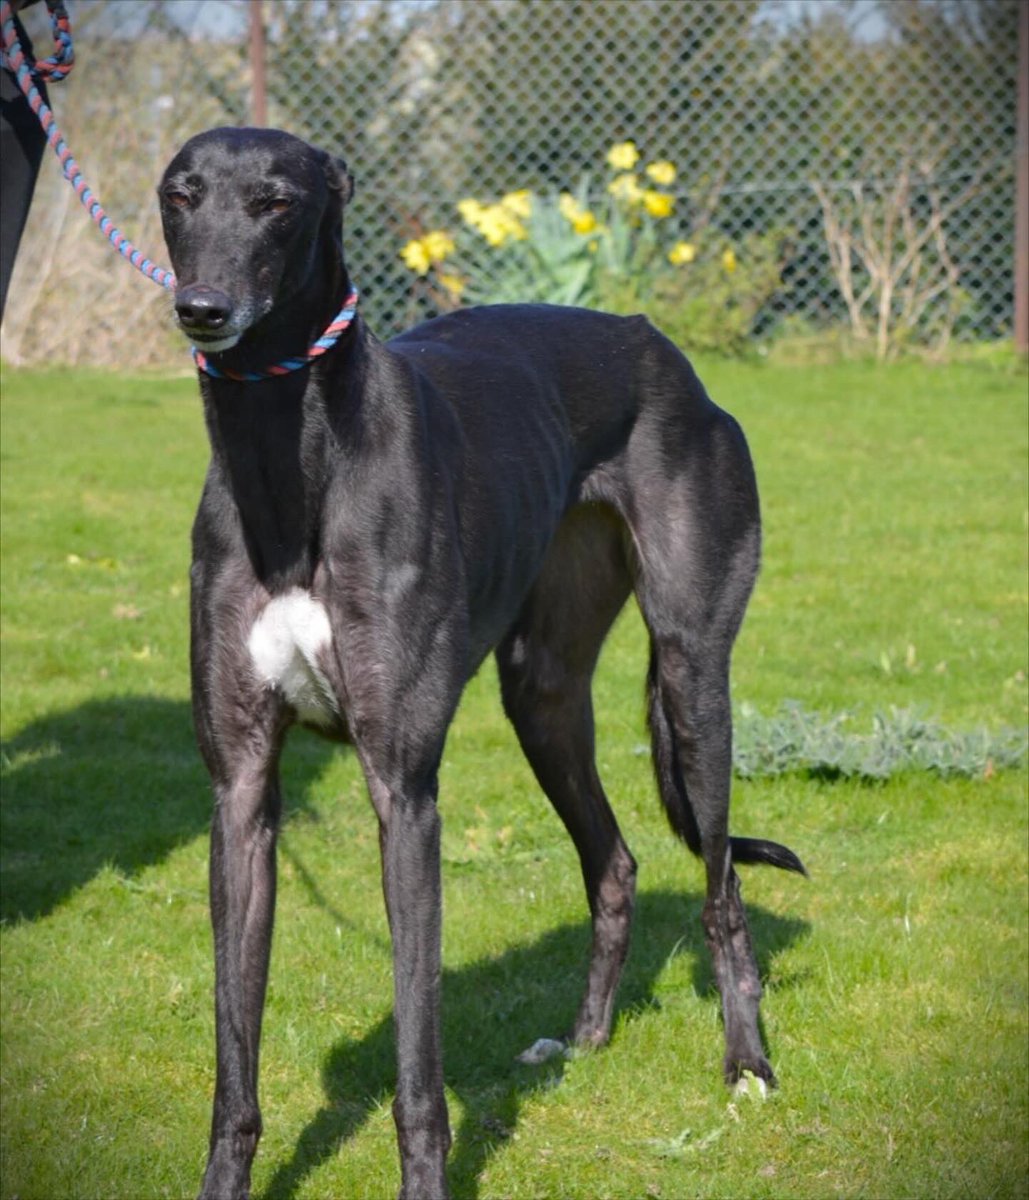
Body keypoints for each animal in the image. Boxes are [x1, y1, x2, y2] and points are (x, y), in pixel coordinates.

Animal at [158, 126, 801, 1195]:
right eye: (181, 194)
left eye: (277, 201)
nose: (201, 309)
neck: (290, 459)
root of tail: (655, 343)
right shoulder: (239, 791)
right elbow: (232, 1053)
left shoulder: (404, 788)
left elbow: (418, 1056)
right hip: (542, 689)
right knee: (615, 861)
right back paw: (582, 1041)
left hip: (691, 676)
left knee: (721, 885)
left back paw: (745, 1059)